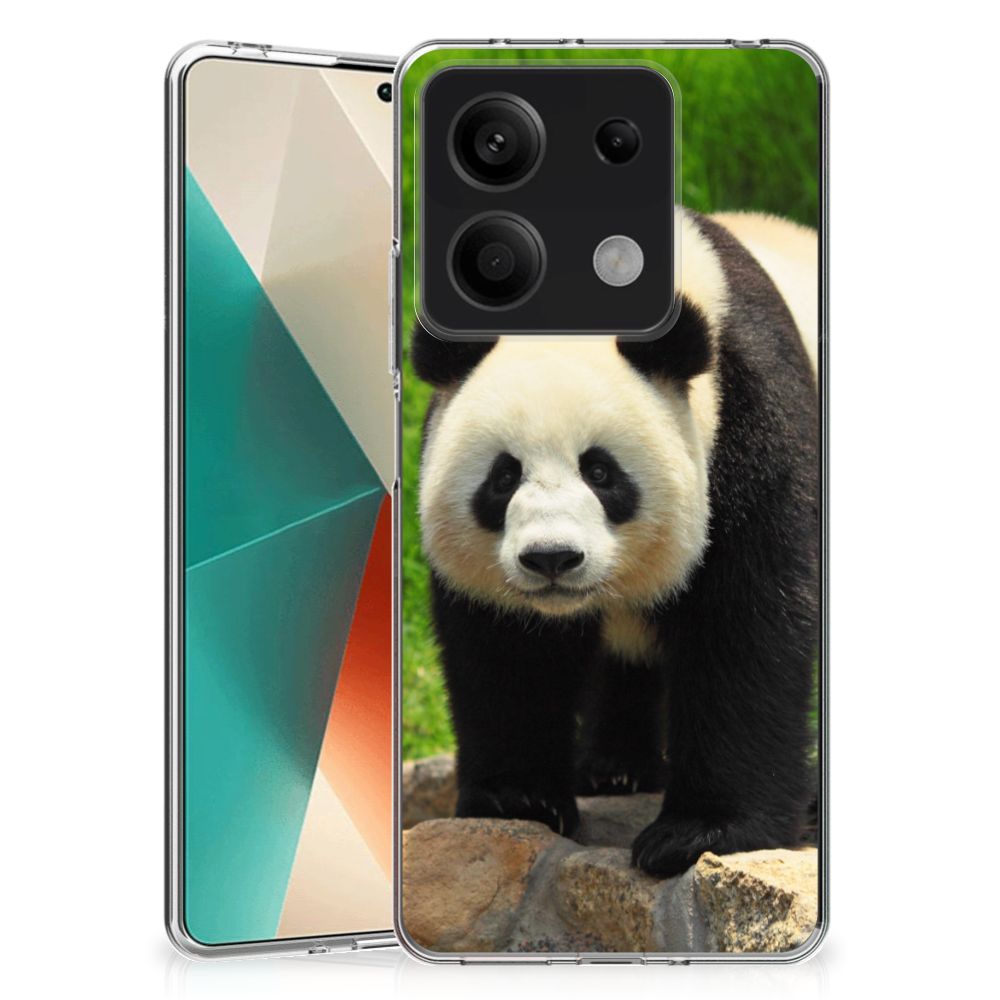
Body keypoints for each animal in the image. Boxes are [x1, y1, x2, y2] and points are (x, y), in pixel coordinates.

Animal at [410, 209, 819, 877]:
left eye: (601, 472)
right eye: (503, 476)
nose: (551, 558)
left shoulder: (752, 424)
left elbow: (747, 626)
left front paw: (699, 833)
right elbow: (507, 650)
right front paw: (518, 799)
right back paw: (613, 769)